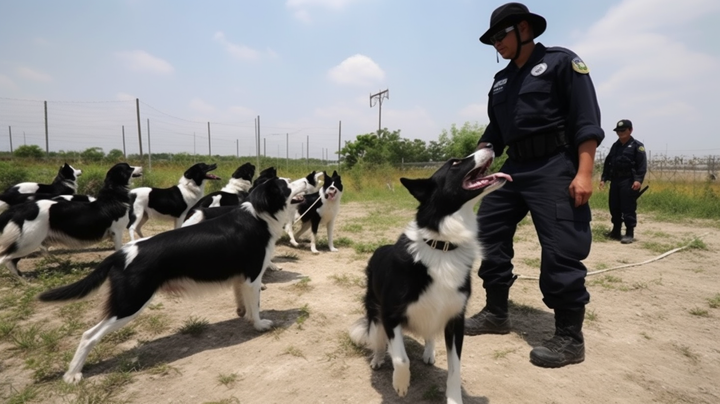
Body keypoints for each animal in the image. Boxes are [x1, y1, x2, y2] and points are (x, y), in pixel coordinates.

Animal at [0, 163, 142, 276]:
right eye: (129, 167)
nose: (141, 166)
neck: (113, 197)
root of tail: (19, 209)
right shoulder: (116, 232)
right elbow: (119, 249)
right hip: (28, 242)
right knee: (6, 259)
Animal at [38, 175, 310, 384]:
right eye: (286, 184)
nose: (308, 180)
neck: (259, 217)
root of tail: (121, 253)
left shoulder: (240, 278)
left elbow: (242, 301)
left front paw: (244, 315)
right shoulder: (253, 277)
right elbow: (256, 305)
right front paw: (259, 324)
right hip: (131, 302)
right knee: (88, 335)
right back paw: (72, 375)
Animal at [350, 148, 512, 404]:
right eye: (454, 163)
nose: (490, 145)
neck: (443, 246)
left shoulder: (455, 320)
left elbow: (455, 369)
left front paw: (454, 399)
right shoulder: (390, 313)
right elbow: (401, 358)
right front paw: (401, 384)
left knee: (428, 333)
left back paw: (428, 351)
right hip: (374, 309)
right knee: (377, 337)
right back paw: (377, 358)